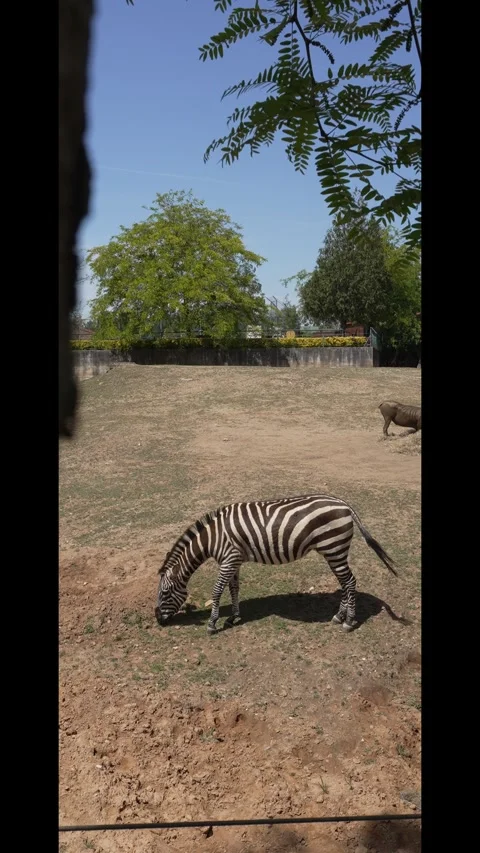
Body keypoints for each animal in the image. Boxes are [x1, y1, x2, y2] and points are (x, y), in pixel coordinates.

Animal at [154, 494, 397, 635]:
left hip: (334, 548)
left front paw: (213, 623)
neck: (213, 537)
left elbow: (216, 591)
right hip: (334, 551)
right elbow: (234, 588)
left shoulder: (228, 559)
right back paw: (339, 617)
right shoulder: (234, 560)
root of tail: (344, 504)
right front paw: (234, 617)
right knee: (345, 583)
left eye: (165, 593)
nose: (158, 620)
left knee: (350, 582)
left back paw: (349, 621)